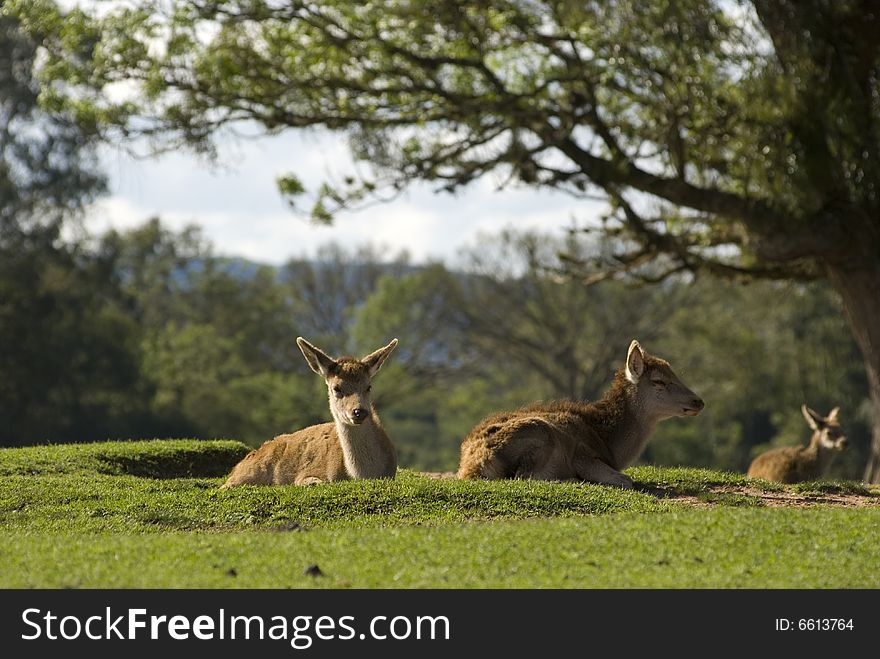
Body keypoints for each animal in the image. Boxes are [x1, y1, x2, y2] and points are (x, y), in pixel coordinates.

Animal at [220, 338, 398, 488]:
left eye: (368, 386)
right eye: (336, 388)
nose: (359, 411)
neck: (361, 474)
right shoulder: (308, 473)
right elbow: (311, 481)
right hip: (248, 473)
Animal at [458, 340, 704, 490]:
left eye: (675, 374)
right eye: (659, 381)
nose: (698, 401)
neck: (610, 446)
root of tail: (473, 465)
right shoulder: (583, 454)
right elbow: (625, 479)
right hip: (540, 433)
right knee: (524, 477)